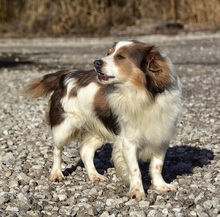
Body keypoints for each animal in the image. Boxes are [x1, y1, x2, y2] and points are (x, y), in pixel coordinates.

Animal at [21, 39, 181, 201]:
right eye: (108, 53)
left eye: (120, 57)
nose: (96, 62)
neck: (143, 96)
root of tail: (66, 75)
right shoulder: (128, 142)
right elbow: (135, 170)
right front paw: (137, 191)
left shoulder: (161, 137)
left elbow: (157, 166)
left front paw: (161, 186)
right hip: (64, 128)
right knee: (57, 150)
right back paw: (56, 173)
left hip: (97, 131)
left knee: (85, 152)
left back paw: (94, 175)